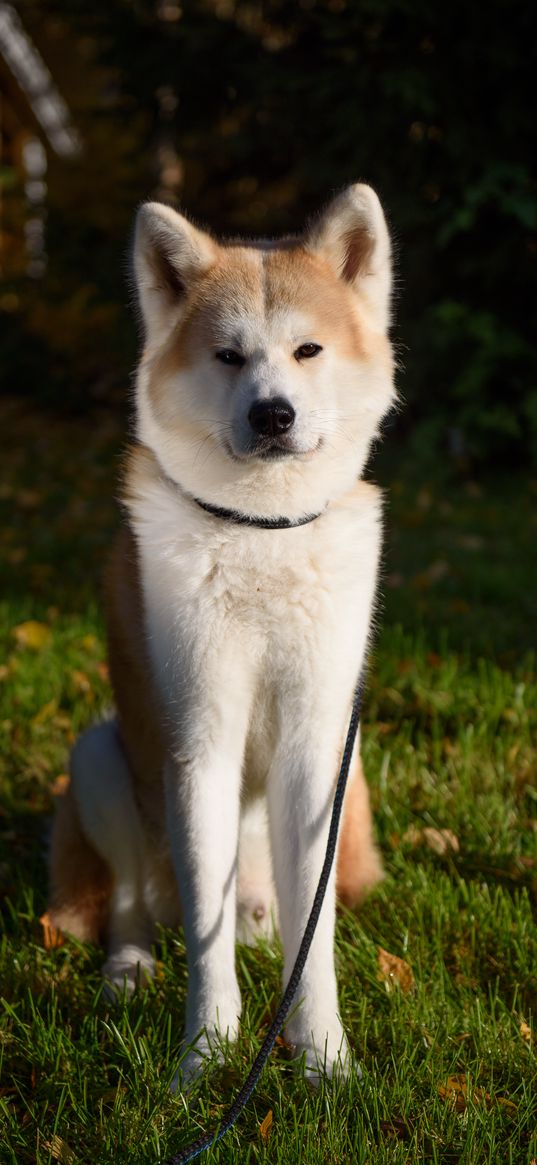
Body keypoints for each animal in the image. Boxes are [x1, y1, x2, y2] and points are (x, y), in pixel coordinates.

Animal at [48, 184, 396, 1081]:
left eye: (307, 350)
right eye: (229, 357)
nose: (273, 414)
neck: (261, 530)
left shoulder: (315, 752)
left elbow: (314, 946)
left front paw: (323, 1060)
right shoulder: (198, 743)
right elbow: (206, 953)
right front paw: (203, 1059)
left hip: (351, 771)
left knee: (272, 923)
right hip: (98, 758)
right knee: (133, 907)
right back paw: (129, 969)